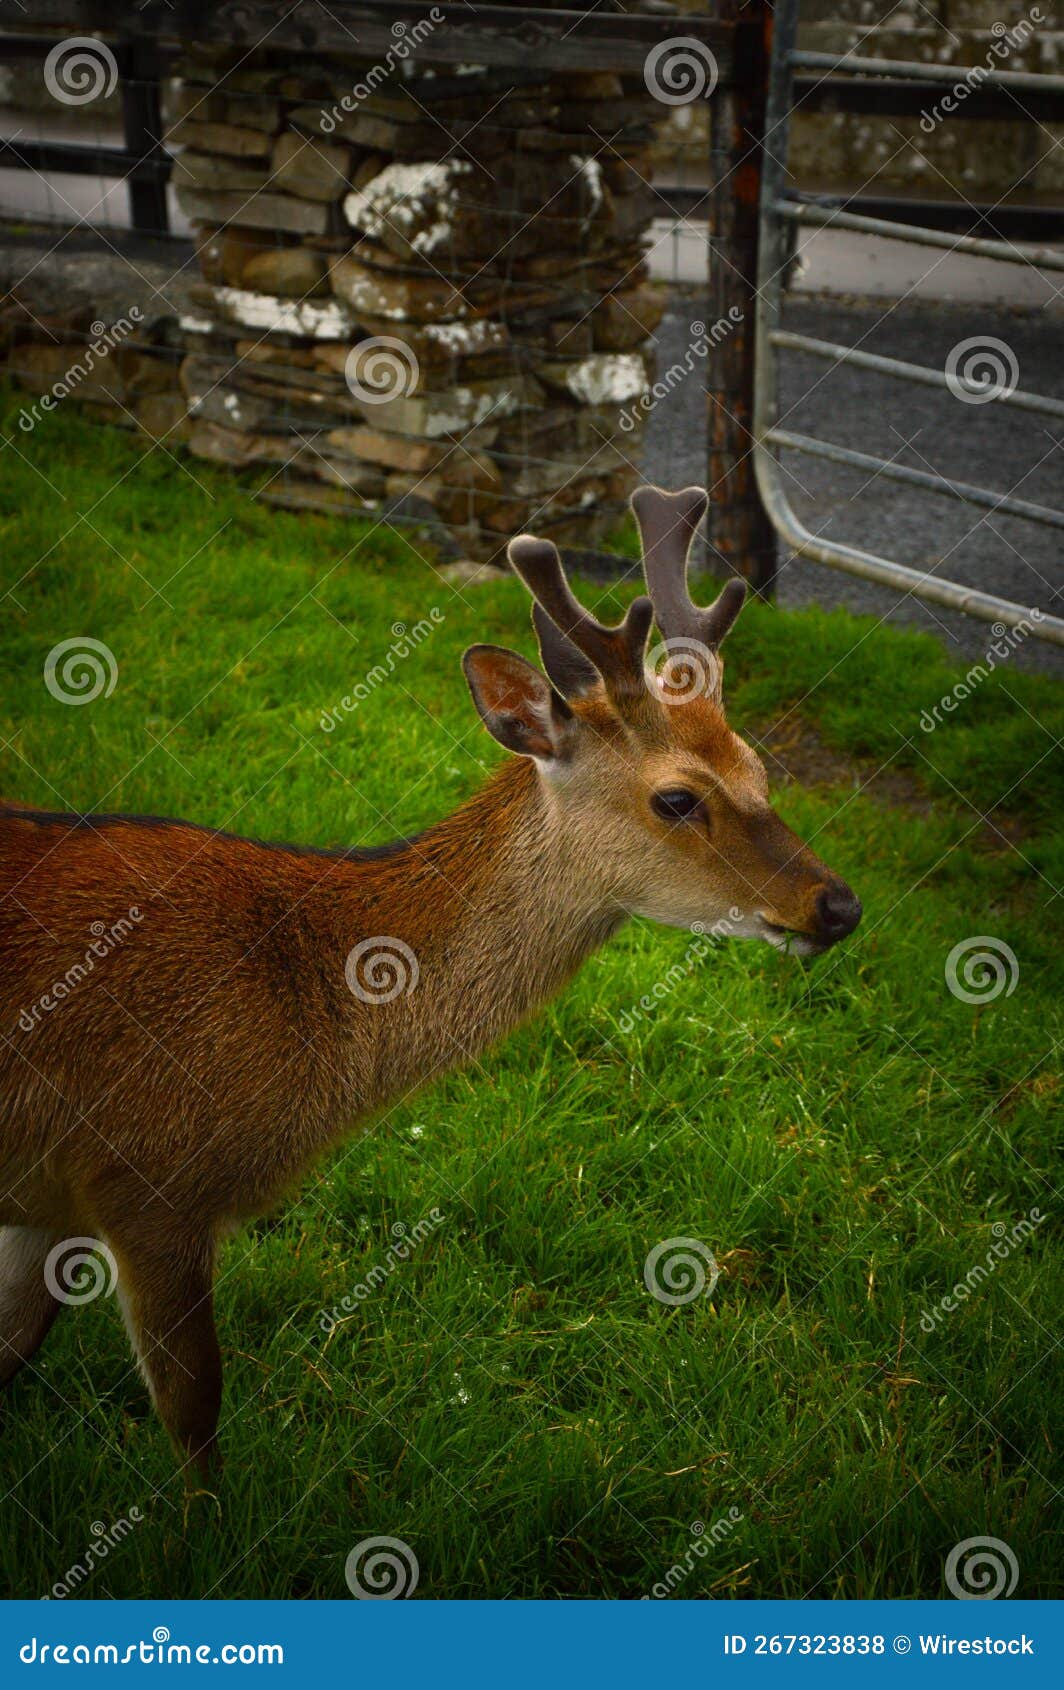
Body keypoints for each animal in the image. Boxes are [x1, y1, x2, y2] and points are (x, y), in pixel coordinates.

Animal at [0, 485, 860, 1481]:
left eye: (758, 767)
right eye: (677, 797)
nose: (838, 905)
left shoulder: (49, 1200)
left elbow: (12, 1350)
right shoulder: (147, 1179)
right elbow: (194, 1413)